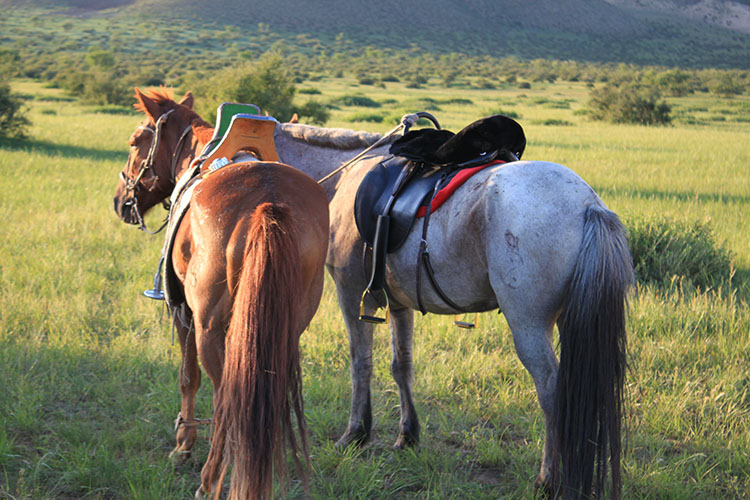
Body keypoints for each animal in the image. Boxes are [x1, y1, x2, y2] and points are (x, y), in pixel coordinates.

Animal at [112, 88, 330, 500]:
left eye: (135, 142)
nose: (120, 202)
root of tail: (268, 202)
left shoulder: (183, 313)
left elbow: (188, 377)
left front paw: (183, 445)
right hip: (286, 326)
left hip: (211, 328)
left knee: (227, 394)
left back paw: (209, 480)